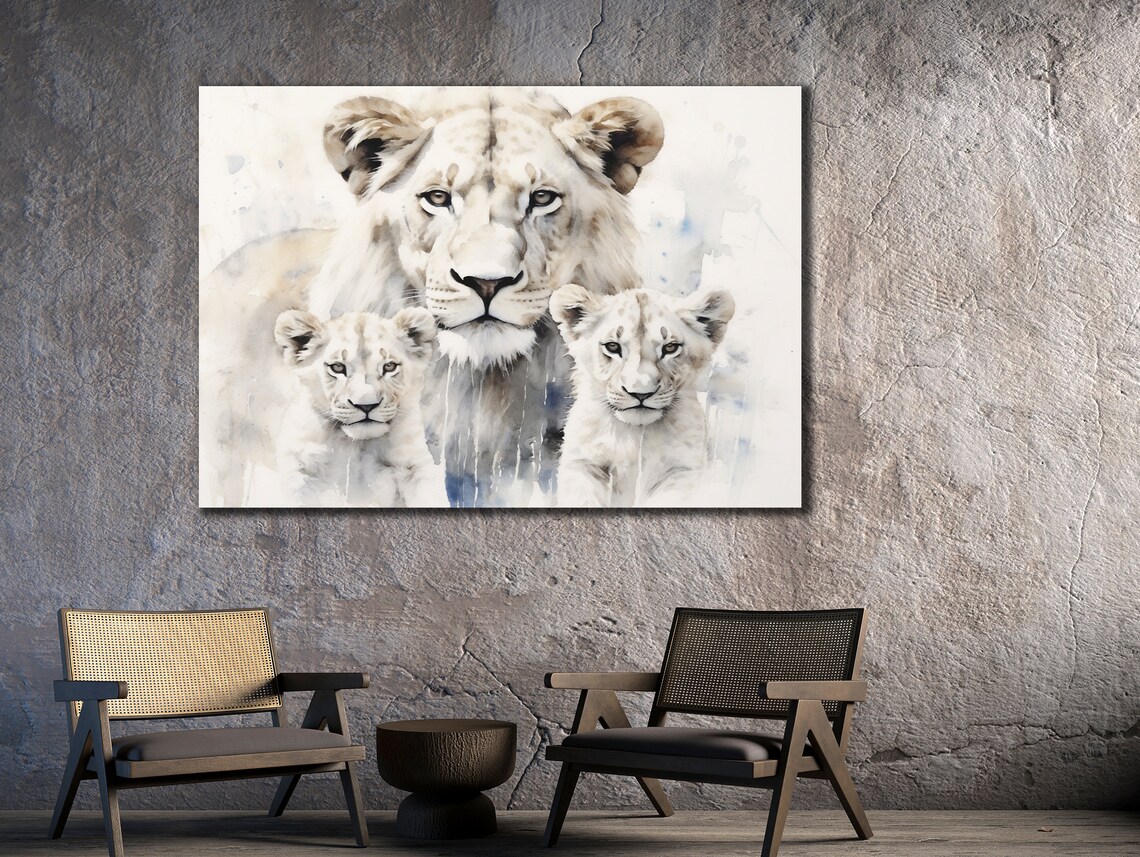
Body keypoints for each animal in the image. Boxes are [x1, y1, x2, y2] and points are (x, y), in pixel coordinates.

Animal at [272, 308, 446, 507]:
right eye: (337, 367)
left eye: (389, 366)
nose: (366, 405)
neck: (354, 446)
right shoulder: (300, 470)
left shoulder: (414, 464)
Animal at [549, 284, 736, 507]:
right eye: (612, 346)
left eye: (670, 347)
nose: (640, 392)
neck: (635, 436)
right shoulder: (583, 462)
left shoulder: (682, 469)